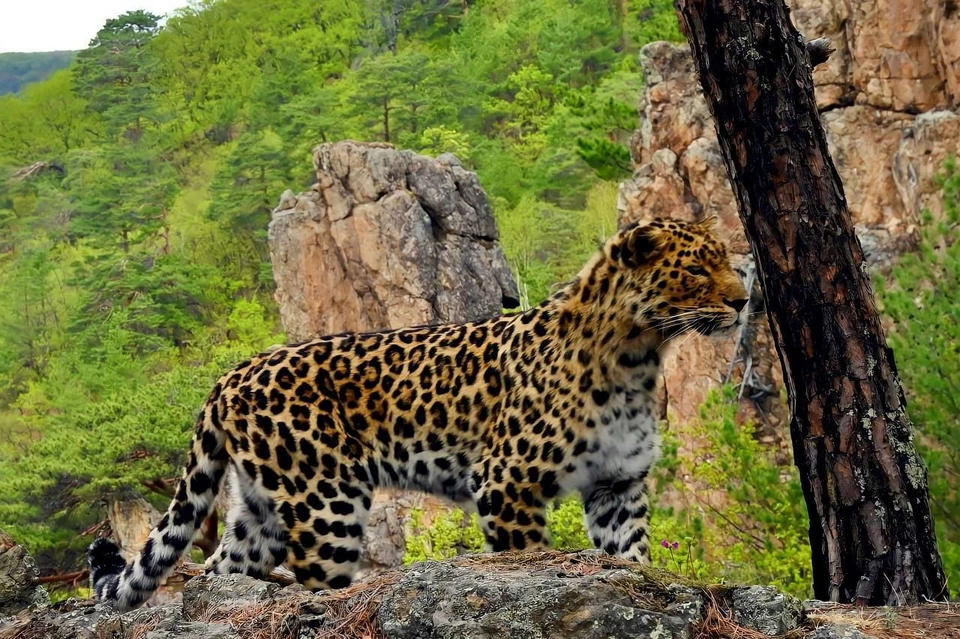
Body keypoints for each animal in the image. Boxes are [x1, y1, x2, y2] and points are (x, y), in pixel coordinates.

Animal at [90, 218, 752, 612]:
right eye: (697, 269)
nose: (745, 301)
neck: (638, 354)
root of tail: (229, 374)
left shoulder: (618, 486)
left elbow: (631, 559)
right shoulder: (505, 484)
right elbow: (524, 554)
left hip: (261, 508)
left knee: (220, 569)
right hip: (326, 501)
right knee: (316, 581)